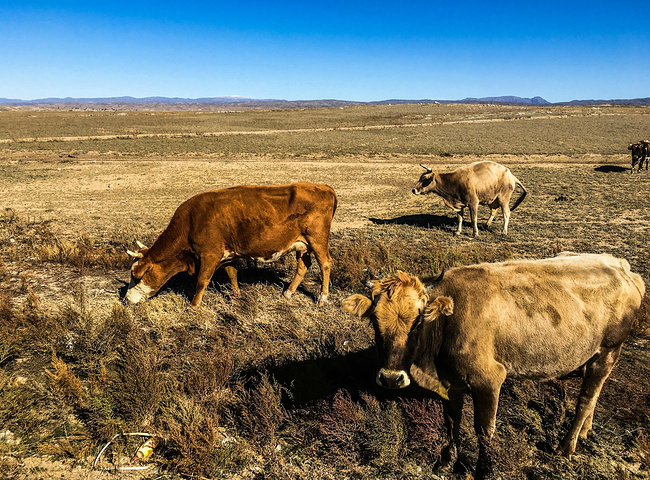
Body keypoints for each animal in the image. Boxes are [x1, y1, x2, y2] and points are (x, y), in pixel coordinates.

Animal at [128, 180, 340, 308]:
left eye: (137, 276)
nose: (127, 299)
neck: (192, 221)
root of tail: (324, 187)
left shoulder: (209, 255)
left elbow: (201, 281)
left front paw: (193, 306)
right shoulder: (228, 254)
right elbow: (231, 273)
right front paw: (236, 295)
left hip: (317, 239)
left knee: (325, 263)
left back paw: (323, 298)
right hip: (302, 245)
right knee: (304, 265)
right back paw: (288, 293)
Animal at [344, 253, 644, 478]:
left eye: (417, 323)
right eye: (374, 321)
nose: (391, 378)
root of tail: (620, 266)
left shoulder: (488, 379)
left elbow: (484, 431)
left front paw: (484, 470)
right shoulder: (451, 383)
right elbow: (451, 422)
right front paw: (446, 462)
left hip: (608, 351)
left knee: (586, 397)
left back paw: (566, 446)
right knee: (594, 393)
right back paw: (585, 432)